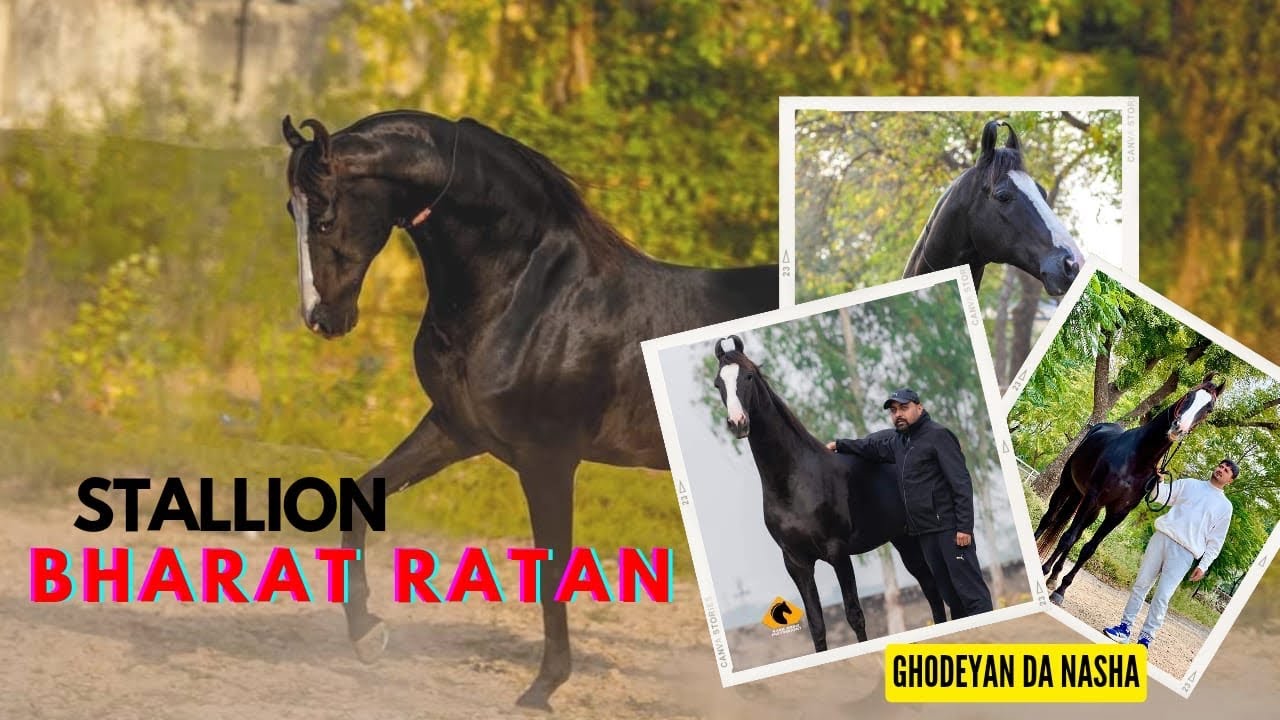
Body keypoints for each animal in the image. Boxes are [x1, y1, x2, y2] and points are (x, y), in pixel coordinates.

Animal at [281, 110, 778, 710]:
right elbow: (360, 497)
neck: (527, 296)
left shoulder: (548, 459)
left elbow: (554, 565)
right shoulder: (457, 429)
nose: (322, 319)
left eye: (325, 218)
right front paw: (367, 636)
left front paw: (542, 688)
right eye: (291, 212)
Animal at [713, 335, 949, 652]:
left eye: (748, 376)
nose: (738, 423)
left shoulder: (838, 553)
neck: (794, 483)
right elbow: (816, 625)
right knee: (930, 588)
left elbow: (854, 615)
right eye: (718, 383)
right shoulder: (796, 562)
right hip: (904, 541)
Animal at [1033, 374, 1227, 605]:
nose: (1178, 428)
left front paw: (1061, 589)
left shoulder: (1118, 513)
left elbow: (1088, 548)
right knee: (1050, 519)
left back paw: (1053, 577)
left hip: (1090, 507)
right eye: (1189, 393)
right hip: (1069, 487)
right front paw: (1047, 573)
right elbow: (1067, 538)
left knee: (1074, 532)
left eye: (1209, 409)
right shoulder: (1092, 497)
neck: (1137, 460)